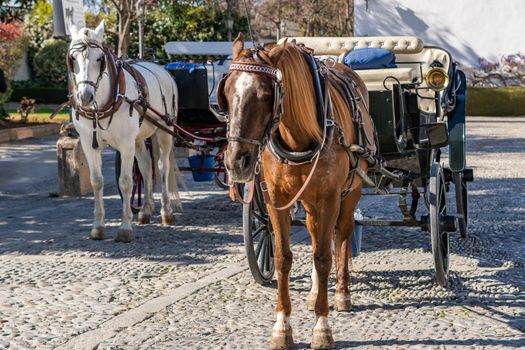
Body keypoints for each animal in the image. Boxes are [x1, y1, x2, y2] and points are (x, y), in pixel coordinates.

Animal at [68, 21, 179, 241]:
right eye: (73, 59)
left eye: (100, 59)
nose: (85, 96)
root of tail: (161, 68)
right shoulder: (88, 144)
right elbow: (96, 182)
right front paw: (98, 226)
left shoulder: (126, 143)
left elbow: (126, 182)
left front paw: (125, 228)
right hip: (138, 138)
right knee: (146, 168)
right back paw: (145, 211)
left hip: (165, 130)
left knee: (162, 167)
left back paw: (166, 212)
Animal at [219, 33, 374, 350]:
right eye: (226, 95)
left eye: (266, 96)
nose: (235, 162)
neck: (299, 136)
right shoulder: (276, 200)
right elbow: (283, 258)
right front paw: (282, 327)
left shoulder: (329, 197)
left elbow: (324, 257)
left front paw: (322, 327)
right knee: (317, 234)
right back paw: (315, 294)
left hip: (350, 191)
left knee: (341, 234)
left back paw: (341, 293)